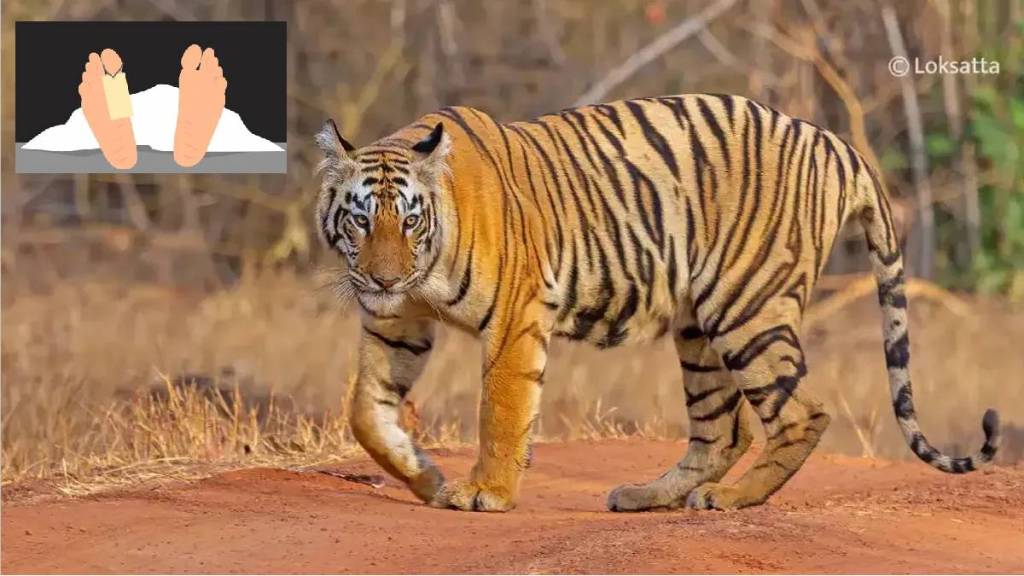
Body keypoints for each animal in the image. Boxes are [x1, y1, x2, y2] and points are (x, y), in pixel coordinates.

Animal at [313, 94, 1000, 512]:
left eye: (408, 219)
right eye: (360, 219)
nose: (381, 279)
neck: (421, 272)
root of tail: (836, 143)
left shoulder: (515, 315)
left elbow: (501, 410)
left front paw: (486, 493)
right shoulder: (394, 323)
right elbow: (366, 414)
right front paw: (426, 477)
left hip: (745, 306)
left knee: (801, 413)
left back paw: (732, 500)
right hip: (698, 326)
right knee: (723, 430)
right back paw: (650, 496)